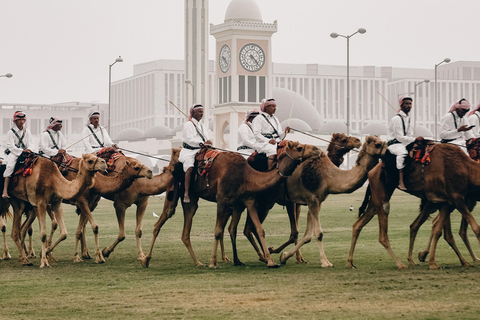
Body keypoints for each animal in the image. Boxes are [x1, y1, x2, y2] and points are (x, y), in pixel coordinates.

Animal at [142, 141, 322, 268]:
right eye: (299, 147)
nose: (317, 150)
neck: (245, 174)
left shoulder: (247, 201)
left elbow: (257, 229)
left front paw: (270, 260)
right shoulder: (223, 199)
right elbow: (218, 231)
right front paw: (213, 263)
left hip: (193, 199)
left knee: (186, 231)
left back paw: (198, 262)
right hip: (175, 191)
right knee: (161, 221)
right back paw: (146, 260)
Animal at [240, 134, 386, 266]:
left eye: (382, 141)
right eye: (377, 144)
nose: (357, 140)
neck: (327, 175)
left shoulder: (316, 202)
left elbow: (307, 235)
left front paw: (285, 256)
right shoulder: (311, 199)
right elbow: (318, 233)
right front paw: (325, 262)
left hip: (267, 202)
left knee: (250, 228)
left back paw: (265, 256)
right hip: (262, 201)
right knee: (250, 227)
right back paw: (265, 256)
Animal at [346, 142, 480, 270]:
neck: (466, 169)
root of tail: (371, 172)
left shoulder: (447, 202)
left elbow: (438, 230)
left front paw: (433, 262)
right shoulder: (456, 197)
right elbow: (476, 228)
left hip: (377, 198)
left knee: (358, 224)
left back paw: (350, 262)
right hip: (381, 193)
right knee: (383, 233)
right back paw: (400, 264)